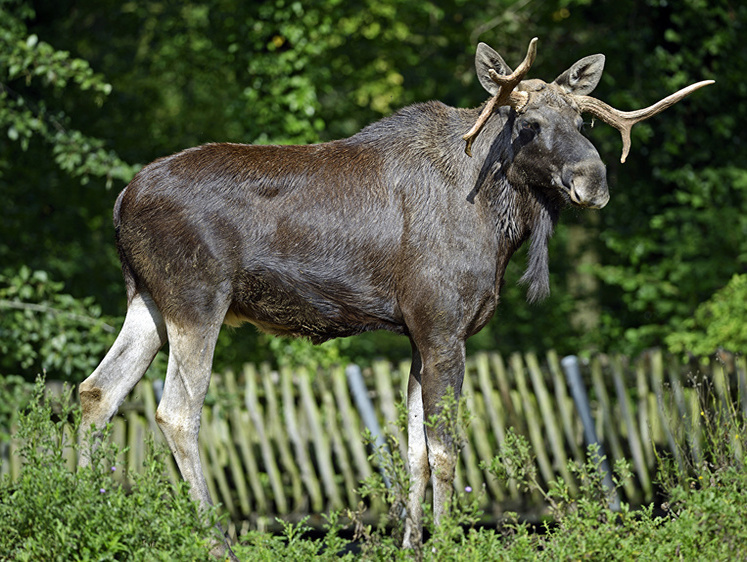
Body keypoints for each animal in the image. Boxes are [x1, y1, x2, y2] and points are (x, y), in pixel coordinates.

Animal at [77, 37, 712, 552]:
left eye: (583, 120)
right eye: (526, 123)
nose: (592, 181)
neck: (500, 223)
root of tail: (120, 204)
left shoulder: (416, 332)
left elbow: (413, 452)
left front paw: (413, 544)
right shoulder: (443, 327)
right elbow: (446, 449)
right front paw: (449, 540)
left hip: (147, 302)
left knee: (95, 393)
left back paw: (86, 512)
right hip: (197, 299)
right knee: (176, 411)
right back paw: (216, 541)